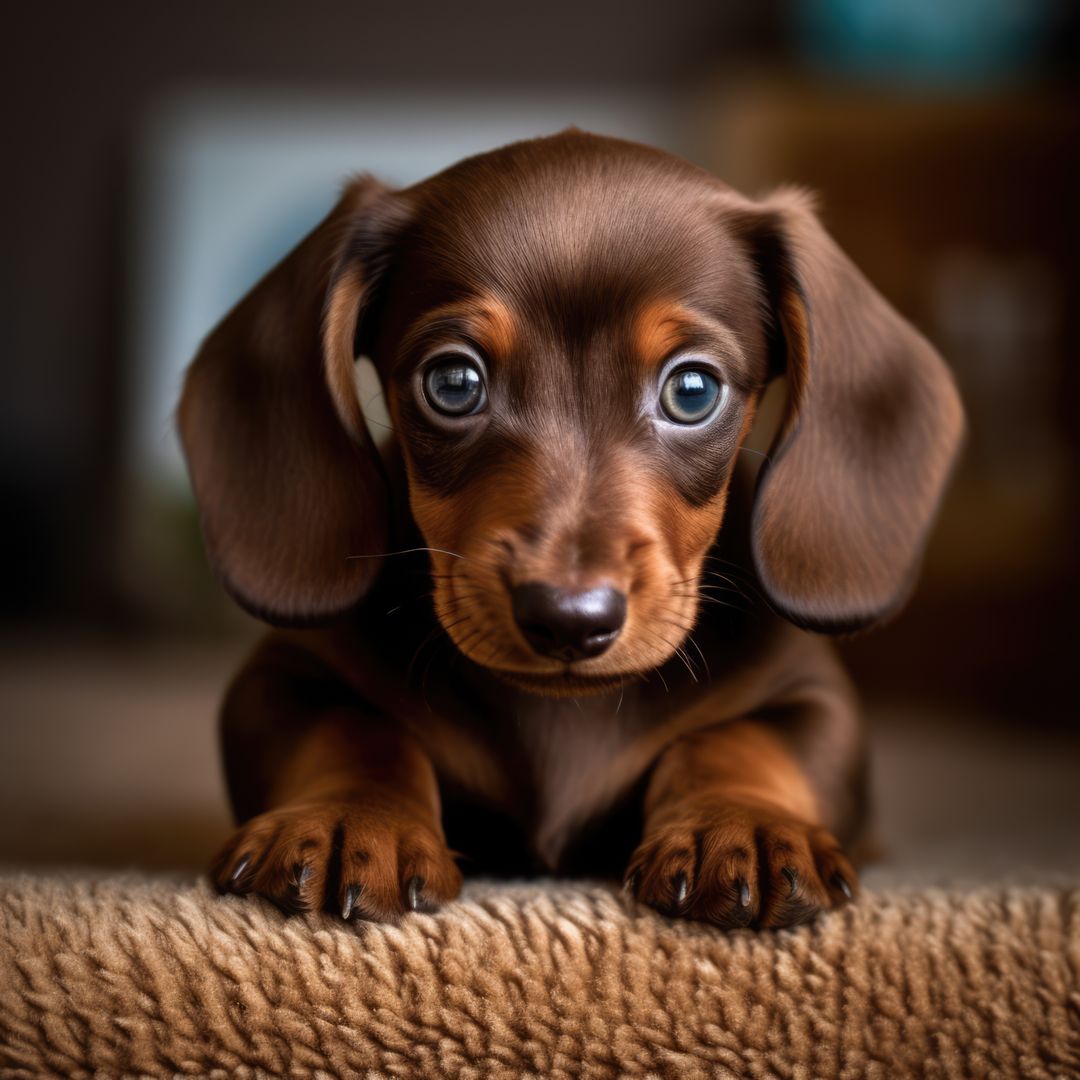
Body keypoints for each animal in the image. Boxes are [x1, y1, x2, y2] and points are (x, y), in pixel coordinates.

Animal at [177, 128, 963, 928]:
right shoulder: (281, 678)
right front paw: (347, 819)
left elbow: (740, 738)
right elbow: (355, 729)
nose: (568, 619)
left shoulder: (815, 696)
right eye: (453, 383)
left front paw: (741, 825)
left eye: (693, 390)